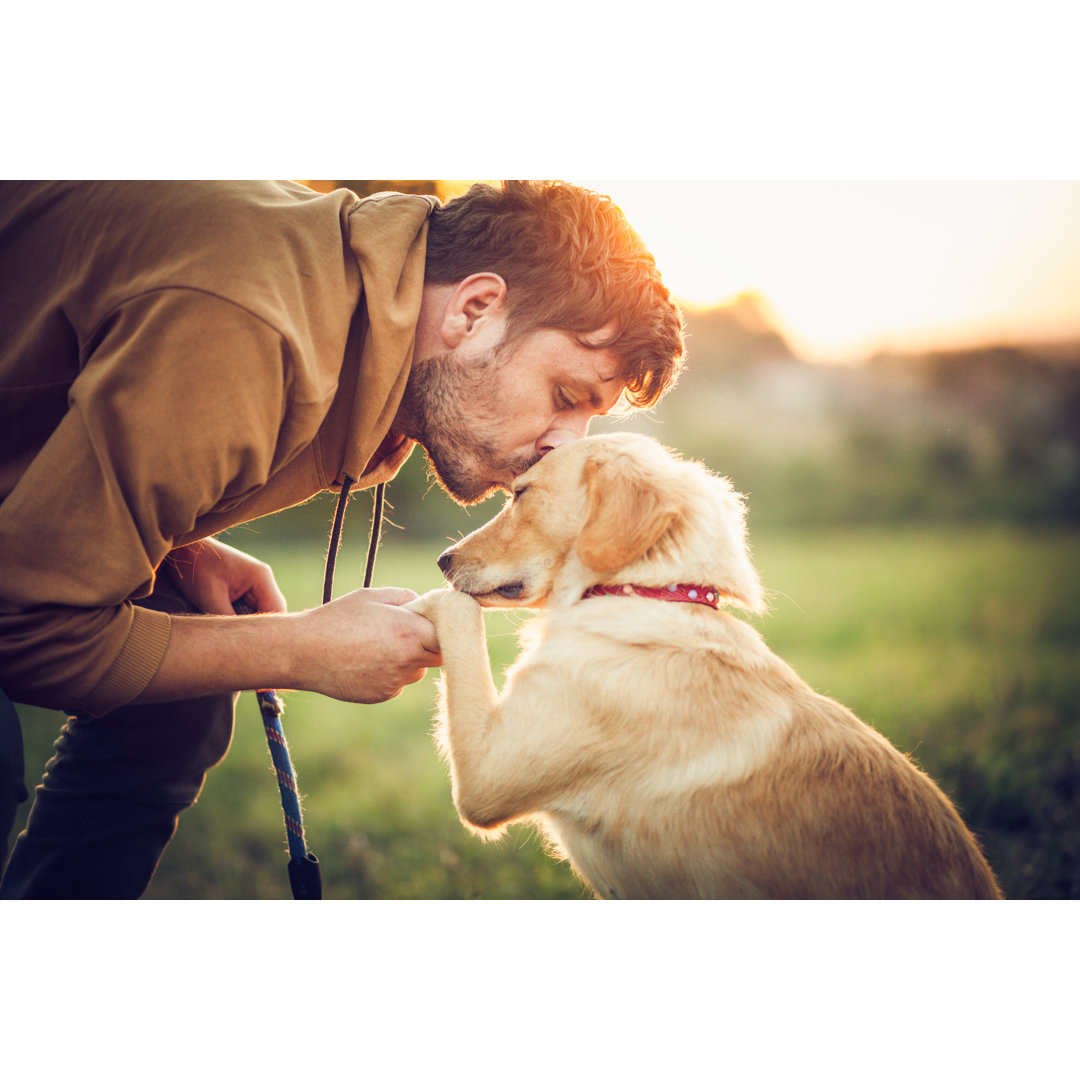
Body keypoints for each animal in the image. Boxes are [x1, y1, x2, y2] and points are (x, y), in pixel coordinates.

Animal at [406, 432, 1002, 902]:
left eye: (521, 494)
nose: (442, 560)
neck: (646, 591)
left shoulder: (487, 778)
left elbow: (457, 613)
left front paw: (415, 602)